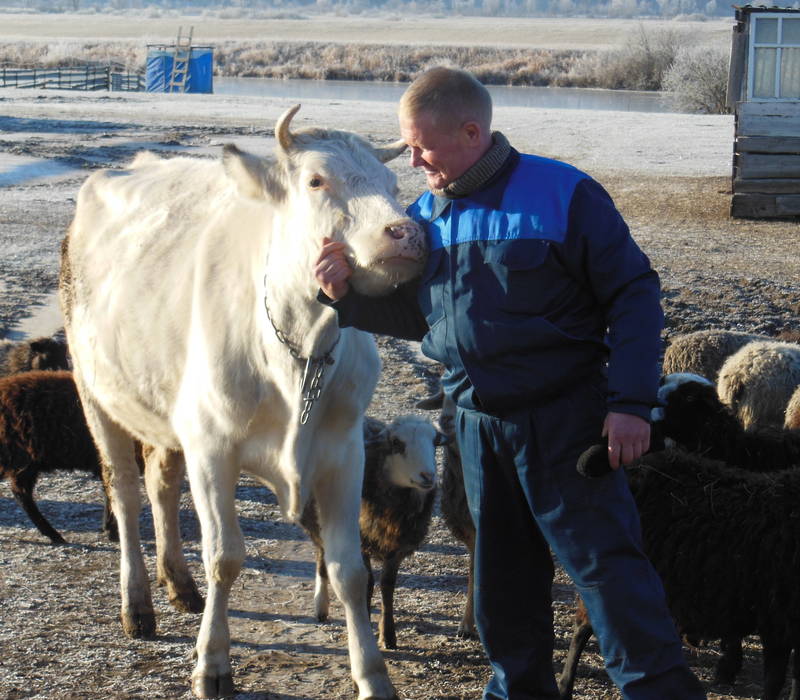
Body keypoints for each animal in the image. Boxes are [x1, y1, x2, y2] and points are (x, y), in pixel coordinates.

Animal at [58, 105, 424, 700]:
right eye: (316, 181)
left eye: (394, 186)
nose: (408, 233)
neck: (300, 350)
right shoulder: (212, 448)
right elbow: (225, 557)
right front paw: (211, 663)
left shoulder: (344, 452)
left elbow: (349, 570)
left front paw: (372, 674)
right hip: (97, 396)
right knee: (127, 495)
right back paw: (137, 605)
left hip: (167, 417)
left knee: (160, 487)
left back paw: (179, 584)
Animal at [298, 416, 444, 652]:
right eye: (396, 443)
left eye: (435, 442)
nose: (428, 476)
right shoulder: (360, 542)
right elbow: (367, 583)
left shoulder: (398, 548)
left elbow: (387, 585)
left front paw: (389, 635)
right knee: (321, 555)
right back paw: (321, 605)